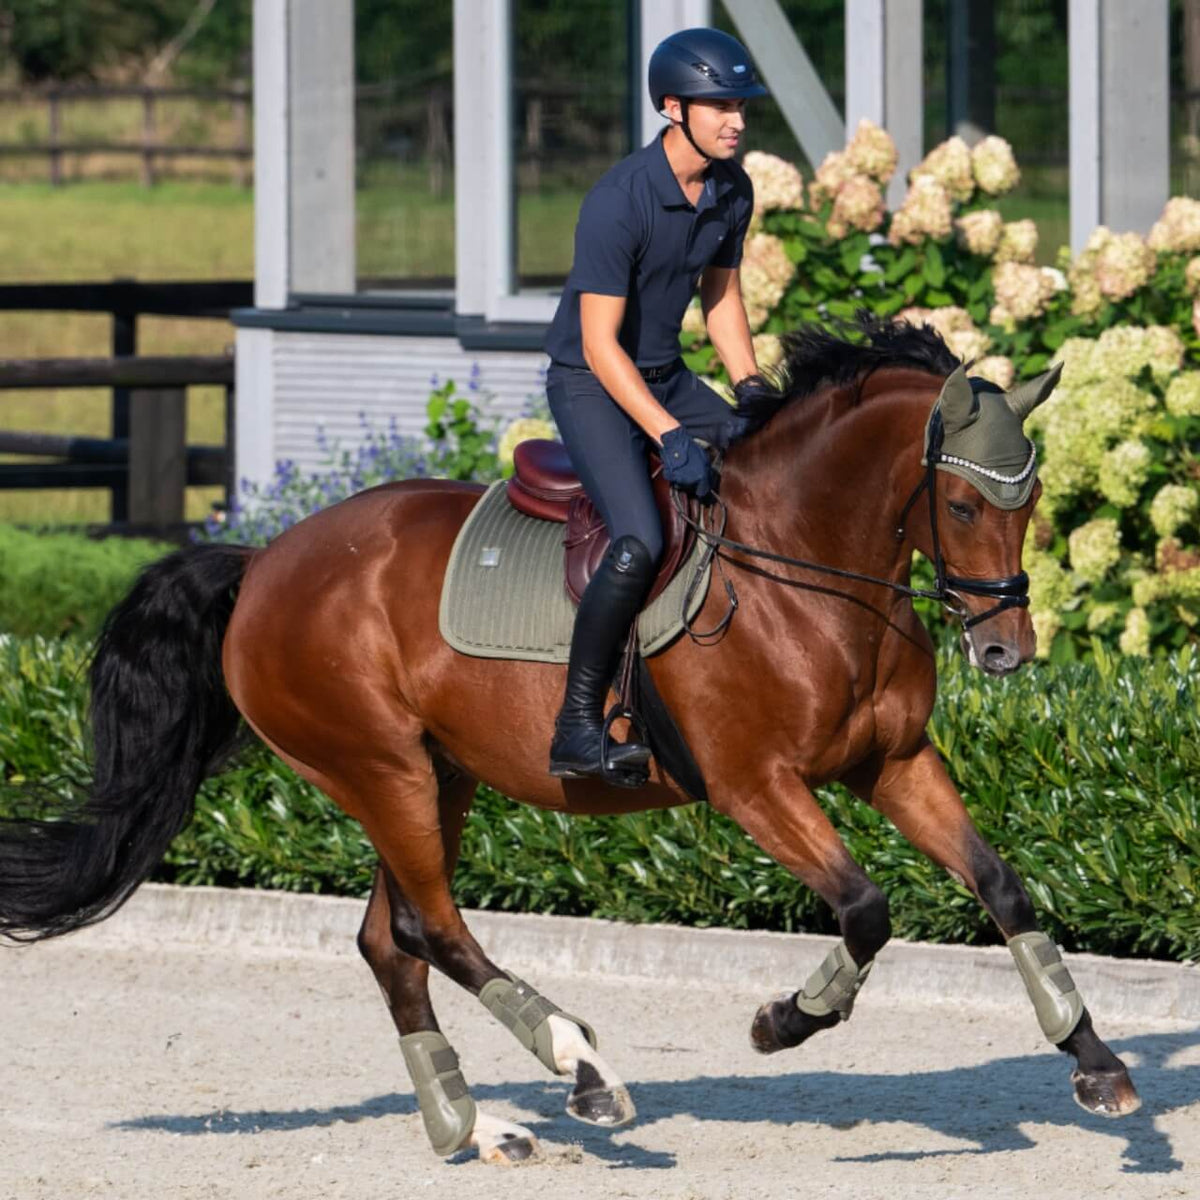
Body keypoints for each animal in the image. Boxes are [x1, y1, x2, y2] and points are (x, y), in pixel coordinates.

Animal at [0, 319, 1141, 1165]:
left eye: (1034, 499)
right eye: (962, 503)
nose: (1004, 650)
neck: (804, 566)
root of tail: (262, 562)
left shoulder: (891, 765)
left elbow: (1002, 888)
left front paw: (1097, 1065)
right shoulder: (755, 786)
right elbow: (865, 910)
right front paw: (784, 1019)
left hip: (432, 775)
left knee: (390, 940)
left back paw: (469, 1125)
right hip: (379, 768)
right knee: (435, 930)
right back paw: (583, 1072)